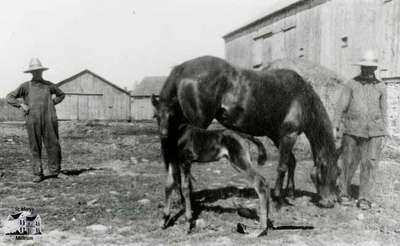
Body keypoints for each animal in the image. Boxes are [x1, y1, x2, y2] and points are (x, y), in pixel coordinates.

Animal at [153, 56, 340, 222]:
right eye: (329, 170)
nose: (331, 202)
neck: (301, 96)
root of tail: (182, 68)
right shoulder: (289, 135)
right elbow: (282, 166)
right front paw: (279, 201)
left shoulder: (277, 136)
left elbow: (291, 162)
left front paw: (290, 194)